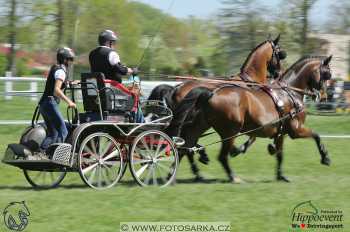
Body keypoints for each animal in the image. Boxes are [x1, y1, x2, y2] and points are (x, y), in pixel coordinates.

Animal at [176, 54, 332, 183]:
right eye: (326, 74)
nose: (324, 97)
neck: (290, 93)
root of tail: (212, 93)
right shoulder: (296, 130)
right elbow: (316, 136)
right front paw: (325, 157)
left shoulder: (281, 133)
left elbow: (280, 154)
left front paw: (280, 175)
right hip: (230, 132)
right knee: (221, 156)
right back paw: (232, 176)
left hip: (201, 125)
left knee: (185, 147)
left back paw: (178, 174)